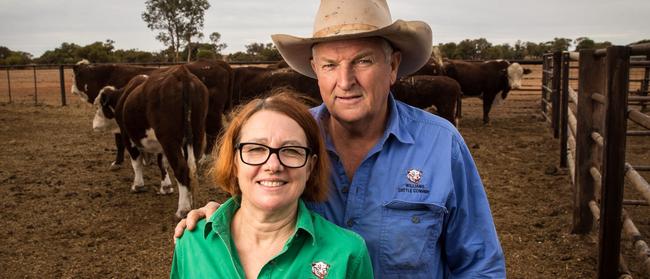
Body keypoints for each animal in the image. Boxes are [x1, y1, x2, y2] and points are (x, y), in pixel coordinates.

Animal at [91, 65, 206, 219]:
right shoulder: (161, 145)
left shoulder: (127, 136)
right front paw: (166, 187)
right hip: (196, 135)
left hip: (169, 140)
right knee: (192, 169)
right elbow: (162, 163)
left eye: (98, 106)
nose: (94, 125)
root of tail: (182, 73)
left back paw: (183, 209)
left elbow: (136, 161)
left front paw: (138, 185)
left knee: (181, 168)